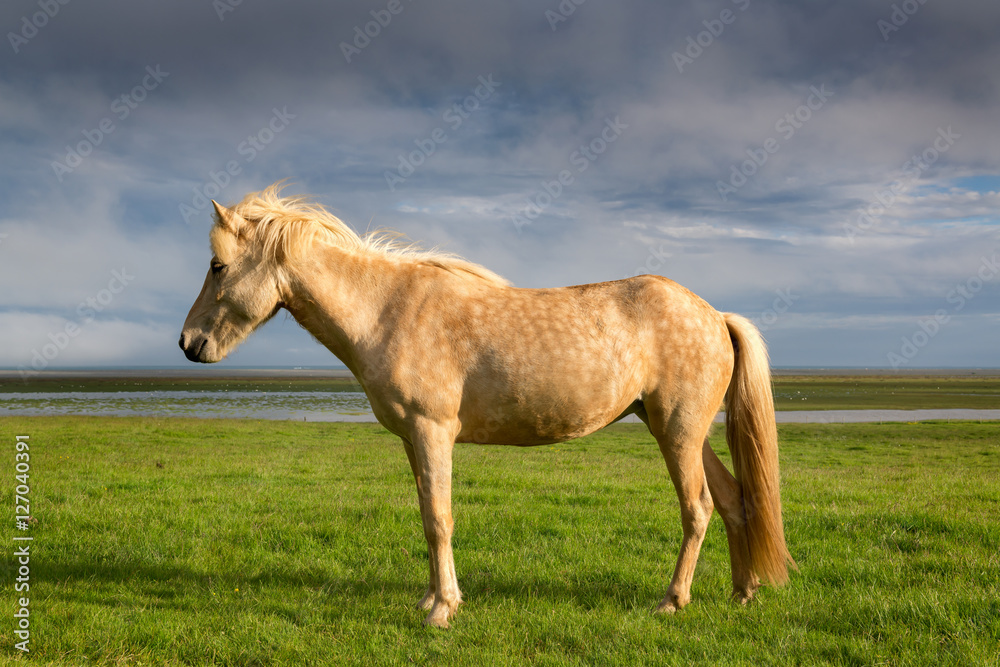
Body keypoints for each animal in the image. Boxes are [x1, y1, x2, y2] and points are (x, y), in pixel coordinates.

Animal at [179, 183, 795, 628]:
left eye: (217, 266)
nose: (189, 344)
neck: (387, 311)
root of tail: (714, 315)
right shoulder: (414, 440)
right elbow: (427, 514)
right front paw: (432, 598)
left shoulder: (432, 432)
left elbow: (440, 519)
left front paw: (442, 611)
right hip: (682, 431)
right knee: (734, 499)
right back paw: (742, 593)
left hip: (677, 433)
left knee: (699, 508)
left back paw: (673, 600)